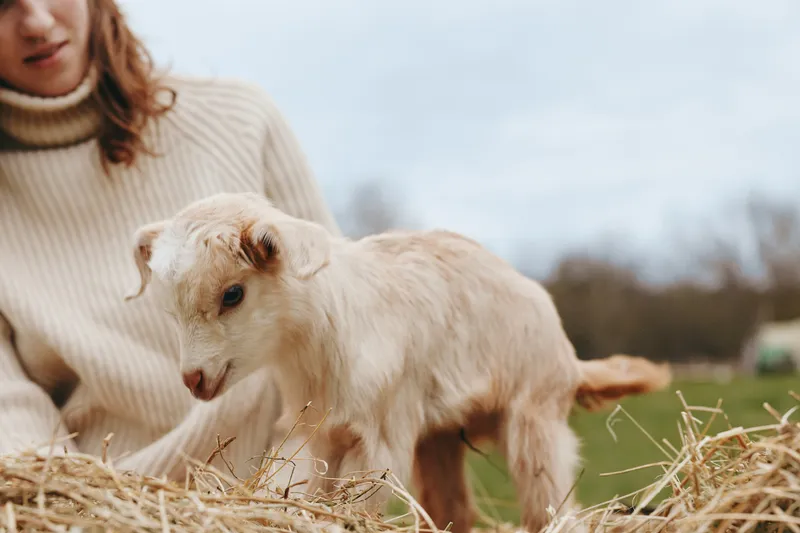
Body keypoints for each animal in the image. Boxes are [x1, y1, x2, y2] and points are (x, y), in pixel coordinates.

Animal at [125, 192, 671, 533]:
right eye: (171, 307)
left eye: (233, 294)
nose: (194, 379)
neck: (321, 340)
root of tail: (571, 359)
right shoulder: (313, 431)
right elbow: (298, 488)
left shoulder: (381, 438)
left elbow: (357, 503)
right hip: (439, 435)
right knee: (454, 509)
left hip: (534, 415)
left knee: (553, 507)